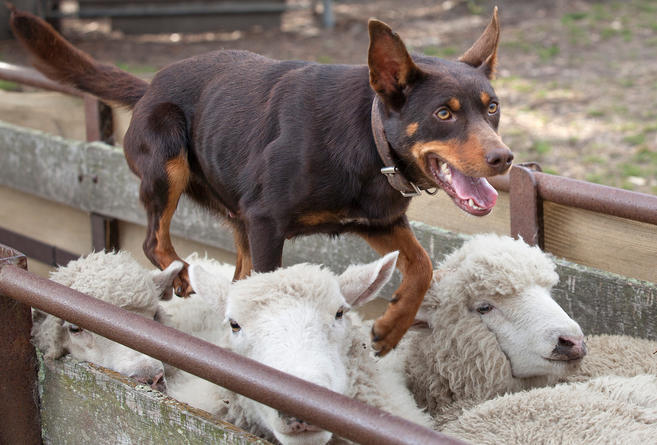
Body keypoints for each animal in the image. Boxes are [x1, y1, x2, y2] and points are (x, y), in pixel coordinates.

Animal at [9, 6, 512, 354]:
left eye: (492, 108)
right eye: (443, 113)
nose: (504, 158)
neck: (371, 143)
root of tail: (149, 86)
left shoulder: (378, 221)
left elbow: (423, 264)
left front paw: (391, 329)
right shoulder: (268, 222)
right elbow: (271, 291)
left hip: (238, 218)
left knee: (233, 276)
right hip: (169, 158)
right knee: (154, 240)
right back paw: (180, 273)